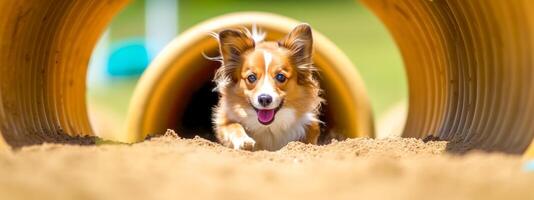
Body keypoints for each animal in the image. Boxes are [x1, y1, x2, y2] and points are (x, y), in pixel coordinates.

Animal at [211, 23, 324, 151]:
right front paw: (244, 141)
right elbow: (234, 126)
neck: (268, 127)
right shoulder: (224, 120)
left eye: (280, 77)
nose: (264, 99)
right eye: (251, 77)